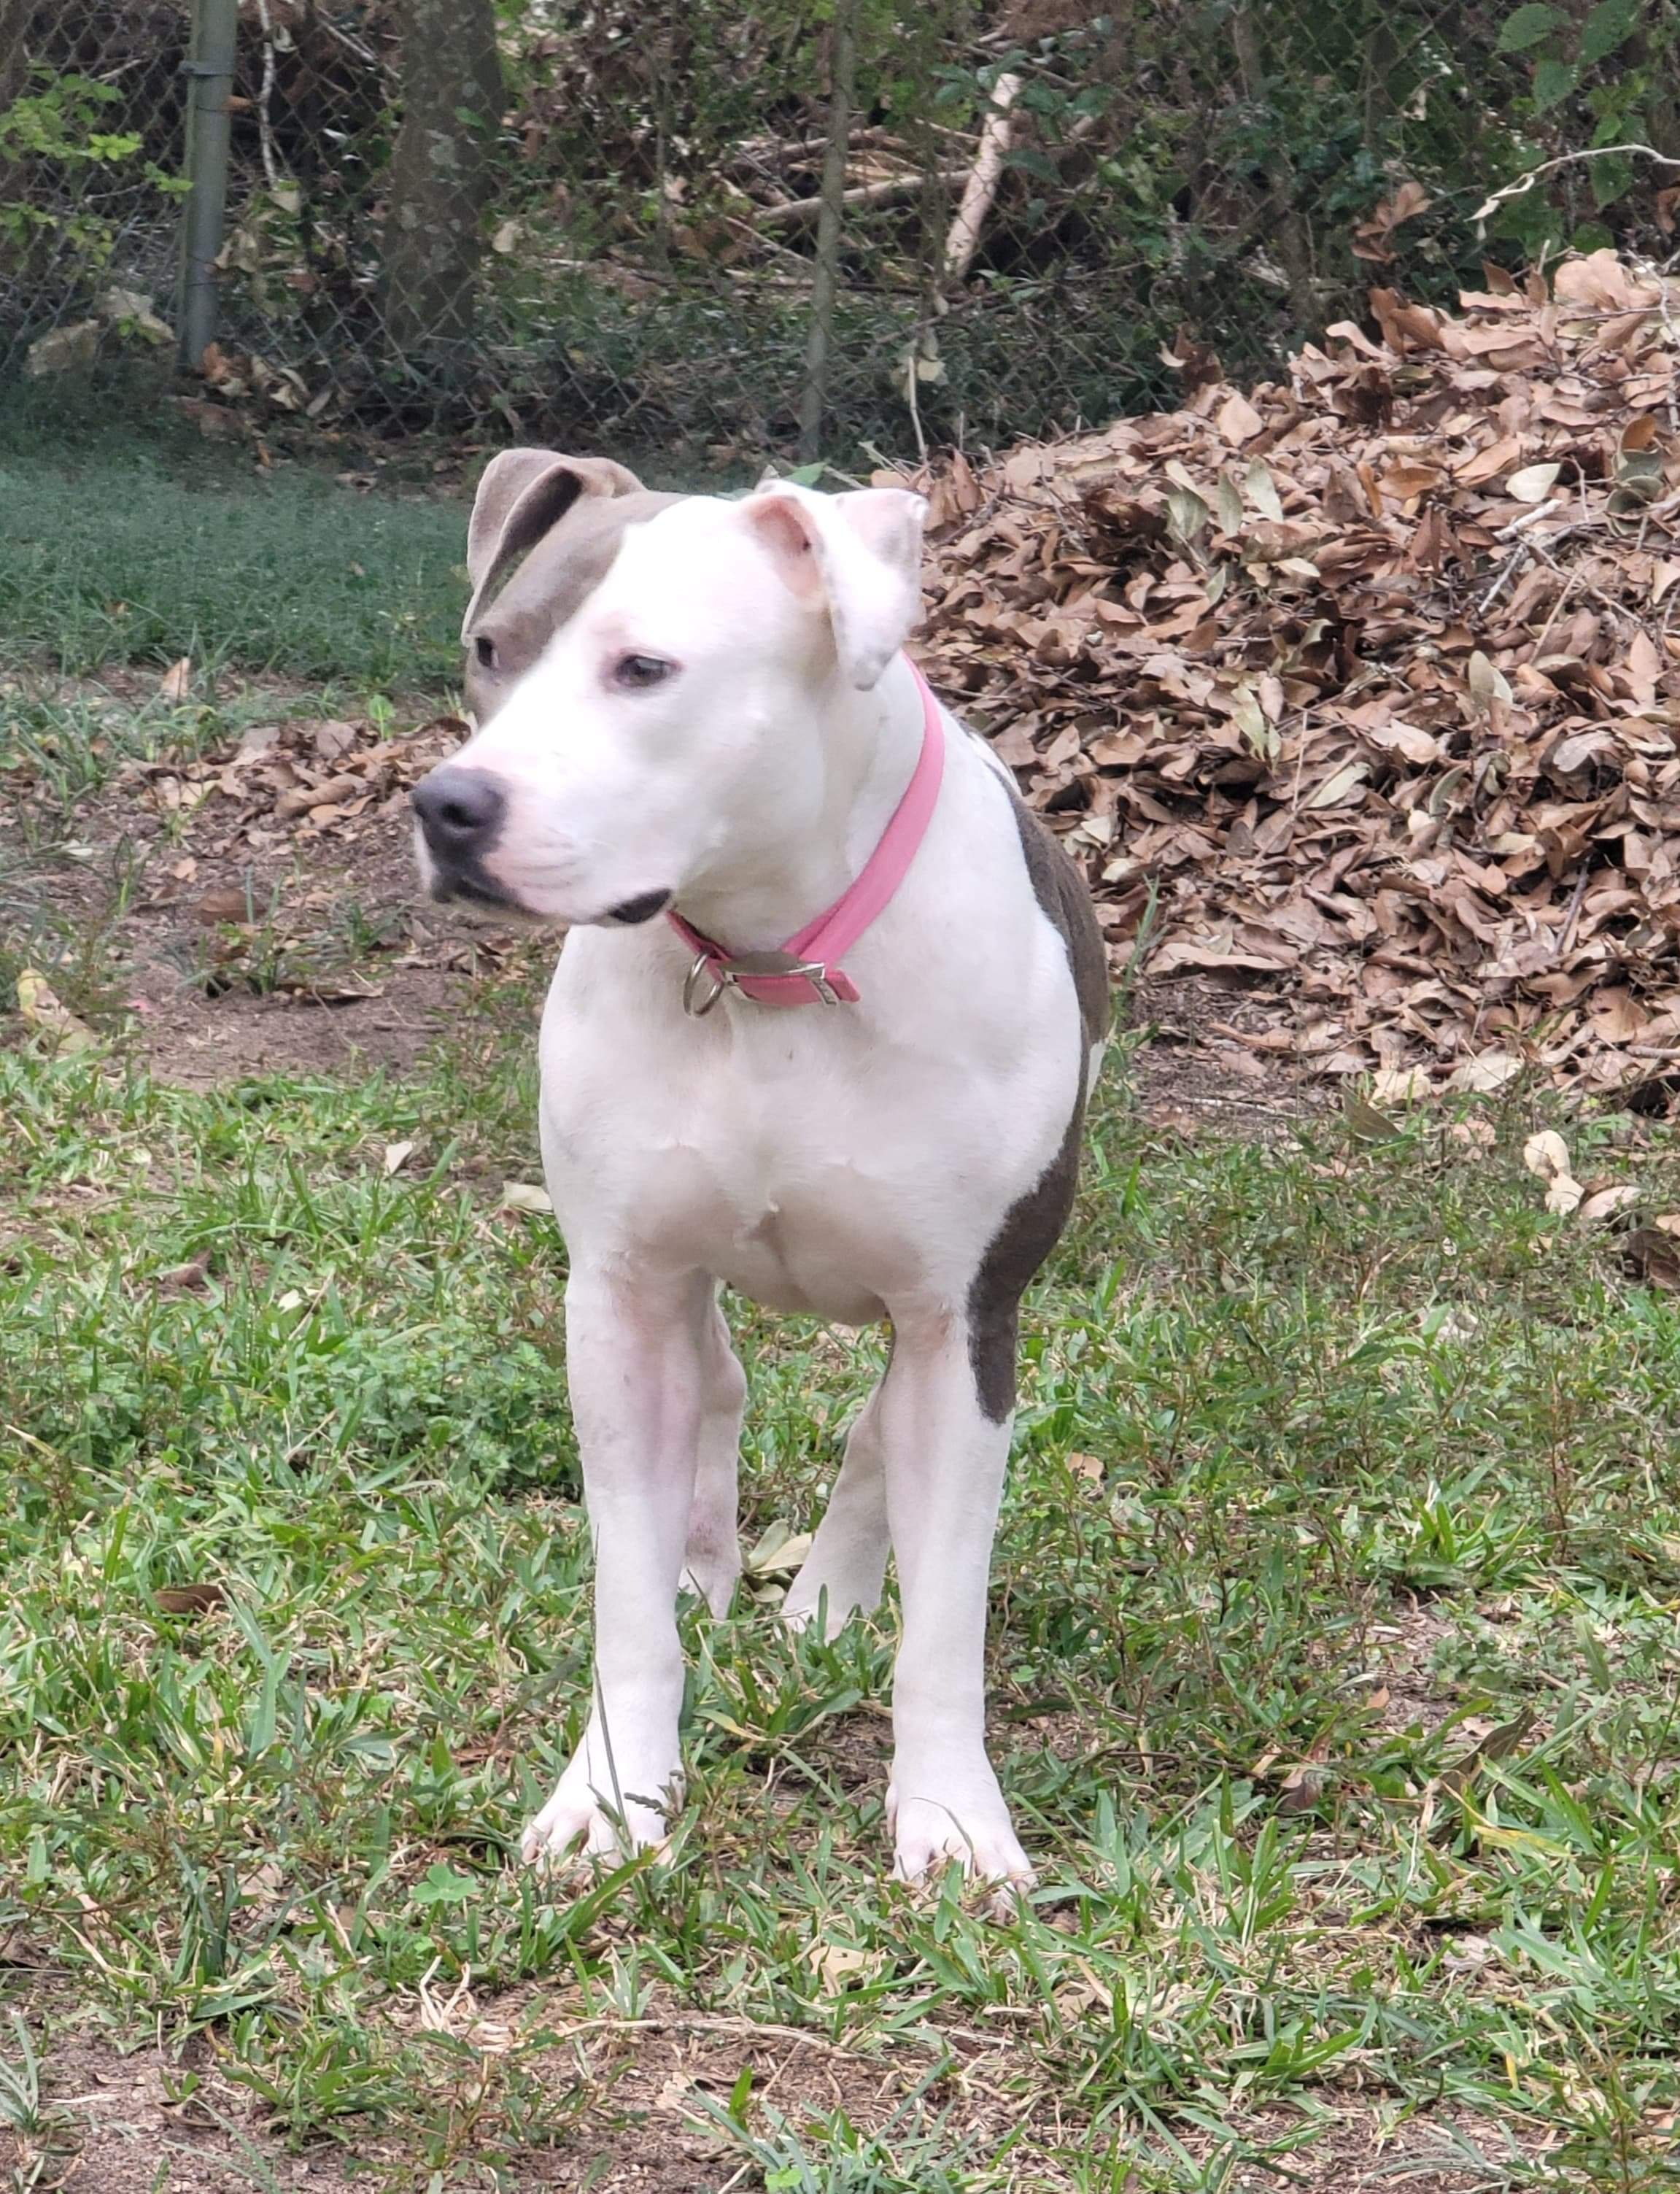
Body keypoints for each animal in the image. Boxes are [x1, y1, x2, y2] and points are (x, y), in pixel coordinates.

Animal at [414, 449, 1114, 1887]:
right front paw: (611, 1792)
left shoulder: (964, 1317)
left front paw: (951, 1815)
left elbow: (943, 1619)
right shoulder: (618, 1290)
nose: (449, 806)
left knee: (870, 1437)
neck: (765, 960)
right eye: (490, 649)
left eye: (643, 669)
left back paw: (830, 1599)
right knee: (720, 1385)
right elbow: (623, 1595)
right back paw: (707, 1562)